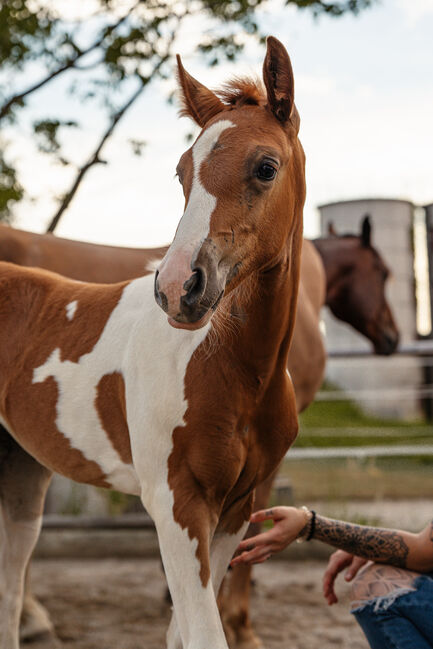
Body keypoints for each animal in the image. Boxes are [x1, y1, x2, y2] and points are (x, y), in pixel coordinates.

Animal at [0, 36, 304, 648]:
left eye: (266, 167)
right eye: (183, 171)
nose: (178, 288)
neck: (233, 367)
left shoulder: (234, 511)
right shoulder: (174, 503)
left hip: (22, 474)